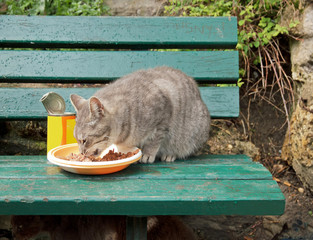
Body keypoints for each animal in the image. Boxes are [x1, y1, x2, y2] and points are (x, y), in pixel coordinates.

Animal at [70, 65, 210, 163]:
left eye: (84, 140)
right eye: (76, 139)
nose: (81, 153)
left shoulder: (163, 116)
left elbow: (154, 140)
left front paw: (147, 154)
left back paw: (170, 154)